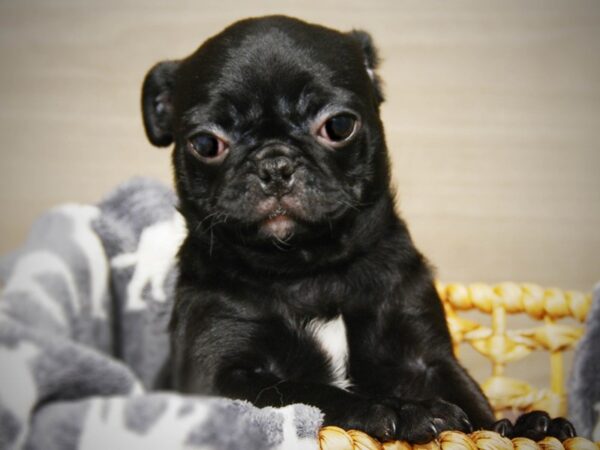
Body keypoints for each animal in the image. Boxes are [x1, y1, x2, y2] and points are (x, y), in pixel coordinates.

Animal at [142, 15, 576, 444]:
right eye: (205, 143)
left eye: (338, 126)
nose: (275, 165)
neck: (309, 271)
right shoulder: (218, 377)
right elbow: (305, 391)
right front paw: (400, 409)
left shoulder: (426, 358)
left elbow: (473, 403)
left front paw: (518, 427)